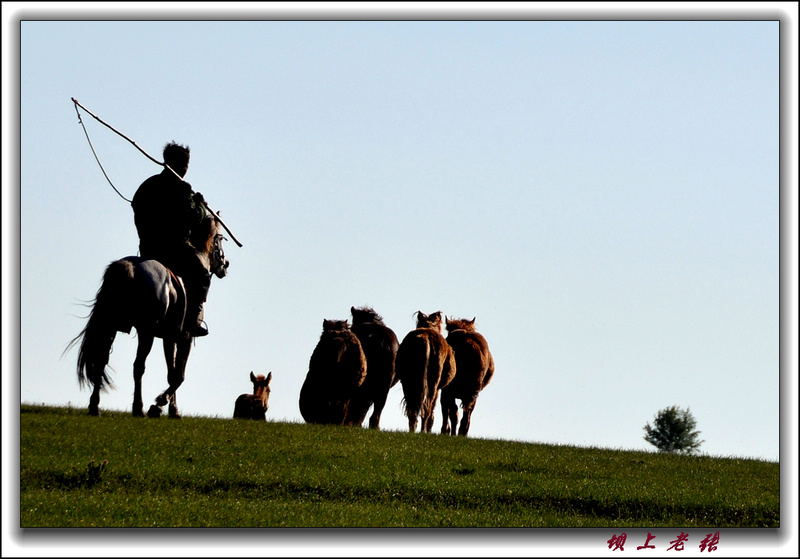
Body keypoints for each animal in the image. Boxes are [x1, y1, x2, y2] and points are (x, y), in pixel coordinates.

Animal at [66, 214, 230, 420]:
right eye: (220, 239)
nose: (226, 265)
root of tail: (129, 267)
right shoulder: (185, 336)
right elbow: (179, 376)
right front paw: (159, 404)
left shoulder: (169, 337)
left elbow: (171, 373)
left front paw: (171, 409)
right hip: (146, 332)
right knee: (138, 367)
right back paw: (138, 408)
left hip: (111, 325)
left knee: (102, 361)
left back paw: (95, 406)